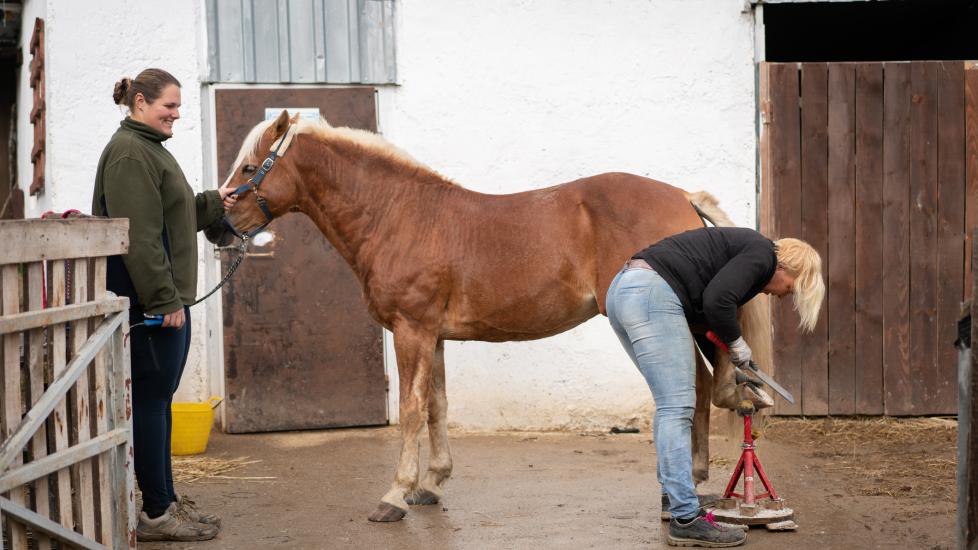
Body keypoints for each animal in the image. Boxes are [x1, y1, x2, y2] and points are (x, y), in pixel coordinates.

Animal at [221, 110, 772, 524]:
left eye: (249, 169)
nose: (221, 224)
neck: (399, 215)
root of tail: (682, 198)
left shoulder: (410, 330)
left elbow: (412, 410)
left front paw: (396, 495)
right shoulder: (432, 335)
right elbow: (437, 405)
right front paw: (431, 484)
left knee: (696, 384)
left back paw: (690, 479)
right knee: (699, 382)